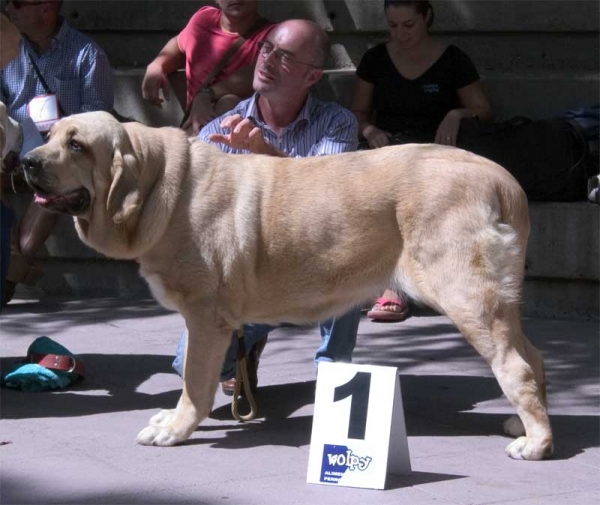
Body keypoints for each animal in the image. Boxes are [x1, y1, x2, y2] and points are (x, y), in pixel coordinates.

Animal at [19, 111, 552, 460]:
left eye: (77, 145)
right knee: (534, 357)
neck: (158, 185)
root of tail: (502, 179)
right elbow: (192, 377)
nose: (26, 161)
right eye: (50, 135)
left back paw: (536, 442)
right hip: (497, 304)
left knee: (515, 367)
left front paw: (175, 429)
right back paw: (525, 420)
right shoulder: (203, 321)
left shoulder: (205, 318)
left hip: (469, 298)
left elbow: (194, 382)